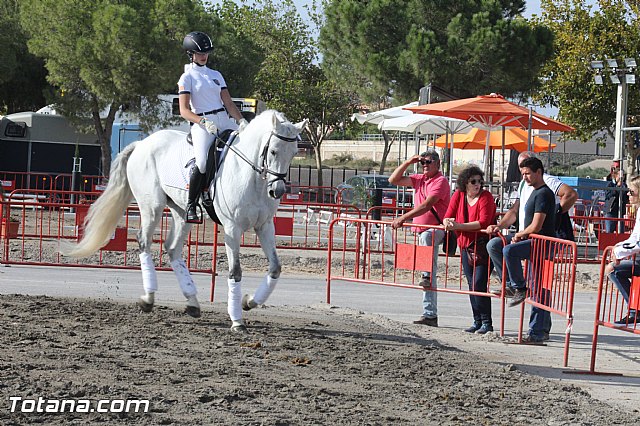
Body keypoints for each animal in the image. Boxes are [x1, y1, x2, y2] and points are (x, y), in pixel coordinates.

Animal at [60, 110, 308, 332]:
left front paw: (249, 302)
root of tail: (141, 143)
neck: (251, 176)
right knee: (144, 241)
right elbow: (235, 272)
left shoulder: (264, 226)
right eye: (273, 151)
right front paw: (237, 320)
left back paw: (192, 302)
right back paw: (148, 299)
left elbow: (275, 268)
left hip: (181, 212)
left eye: (294, 152)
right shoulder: (232, 228)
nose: (278, 191)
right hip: (152, 207)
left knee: (172, 248)